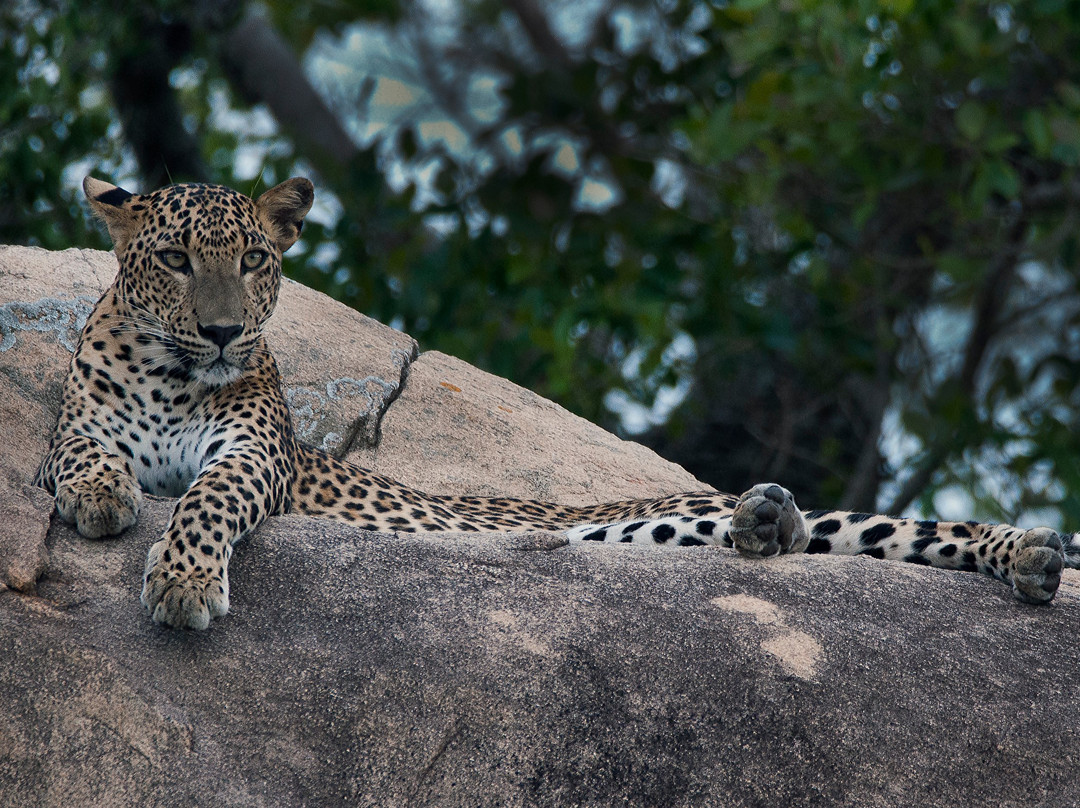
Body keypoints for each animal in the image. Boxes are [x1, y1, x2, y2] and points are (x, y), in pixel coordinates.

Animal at [35, 174, 1080, 630]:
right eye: (175, 260)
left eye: (254, 259)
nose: (221, 332)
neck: (175, 375)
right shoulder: (71, 434)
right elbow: (84, 455)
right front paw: (102, 499)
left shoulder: (255, 457)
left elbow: (207, 499)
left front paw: (181, 583)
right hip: (647, 534)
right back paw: (764, 525)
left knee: (906, 530)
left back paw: (1029, 555)